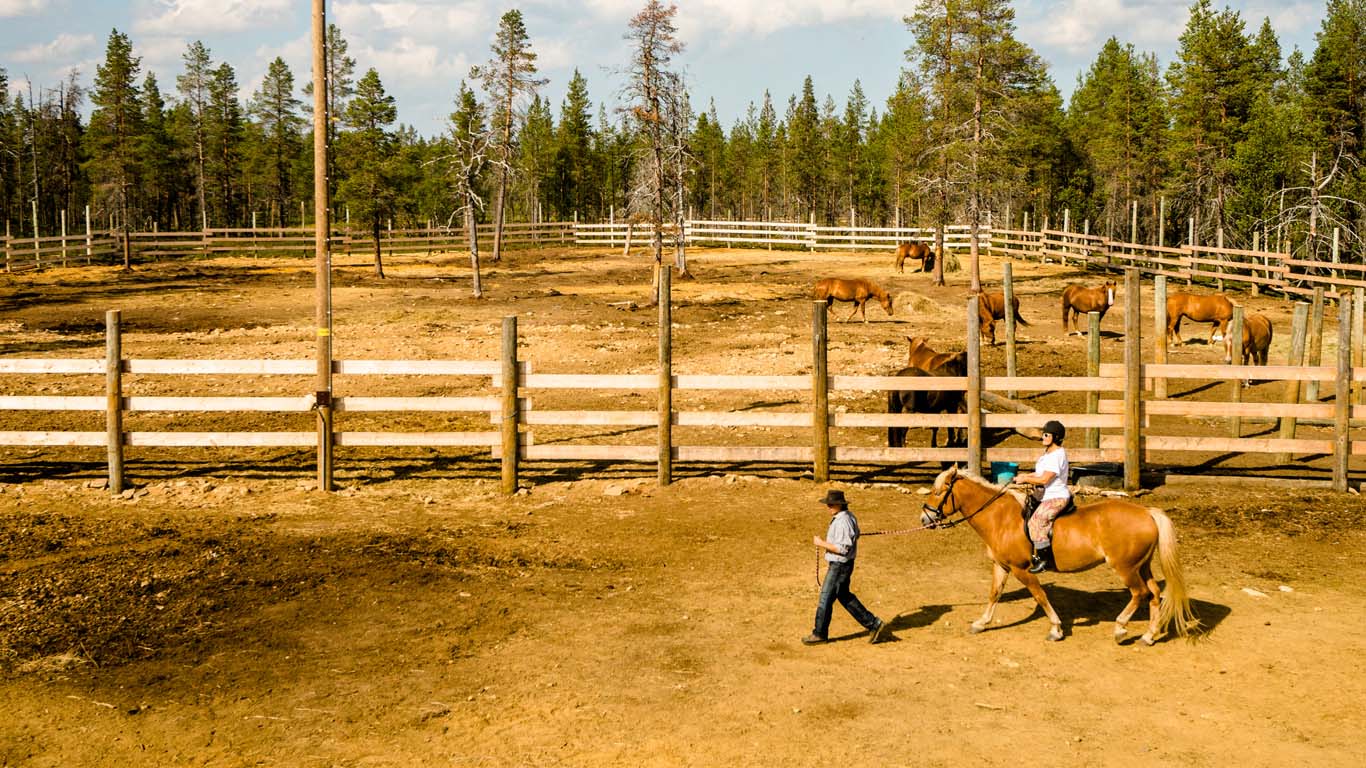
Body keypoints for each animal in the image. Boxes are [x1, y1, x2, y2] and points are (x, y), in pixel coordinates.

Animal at [917, 464, 1196, 642]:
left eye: (938, 492)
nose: (924, 519)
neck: (1000, 518)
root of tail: (1148, 512)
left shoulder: (1021, 569)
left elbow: (1040, 596)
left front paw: (1056, 628)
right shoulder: (1001, 566)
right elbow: (994, 594)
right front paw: (981, 623)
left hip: (1125, 568)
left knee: (1139, 593)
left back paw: (1120, 629)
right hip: (1142, 566)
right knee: (1154, 593)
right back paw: (1149, 635)